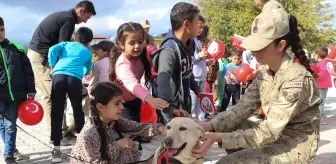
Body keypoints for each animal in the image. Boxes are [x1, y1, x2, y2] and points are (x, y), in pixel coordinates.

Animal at [193, 1, 322, 164]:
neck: (277, 66)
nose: (251, 52)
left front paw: (213, 137)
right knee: (237, 121)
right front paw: (205, 125)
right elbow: (238, 109)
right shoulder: (258, 79)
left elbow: (268, 128)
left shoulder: (294, 85)